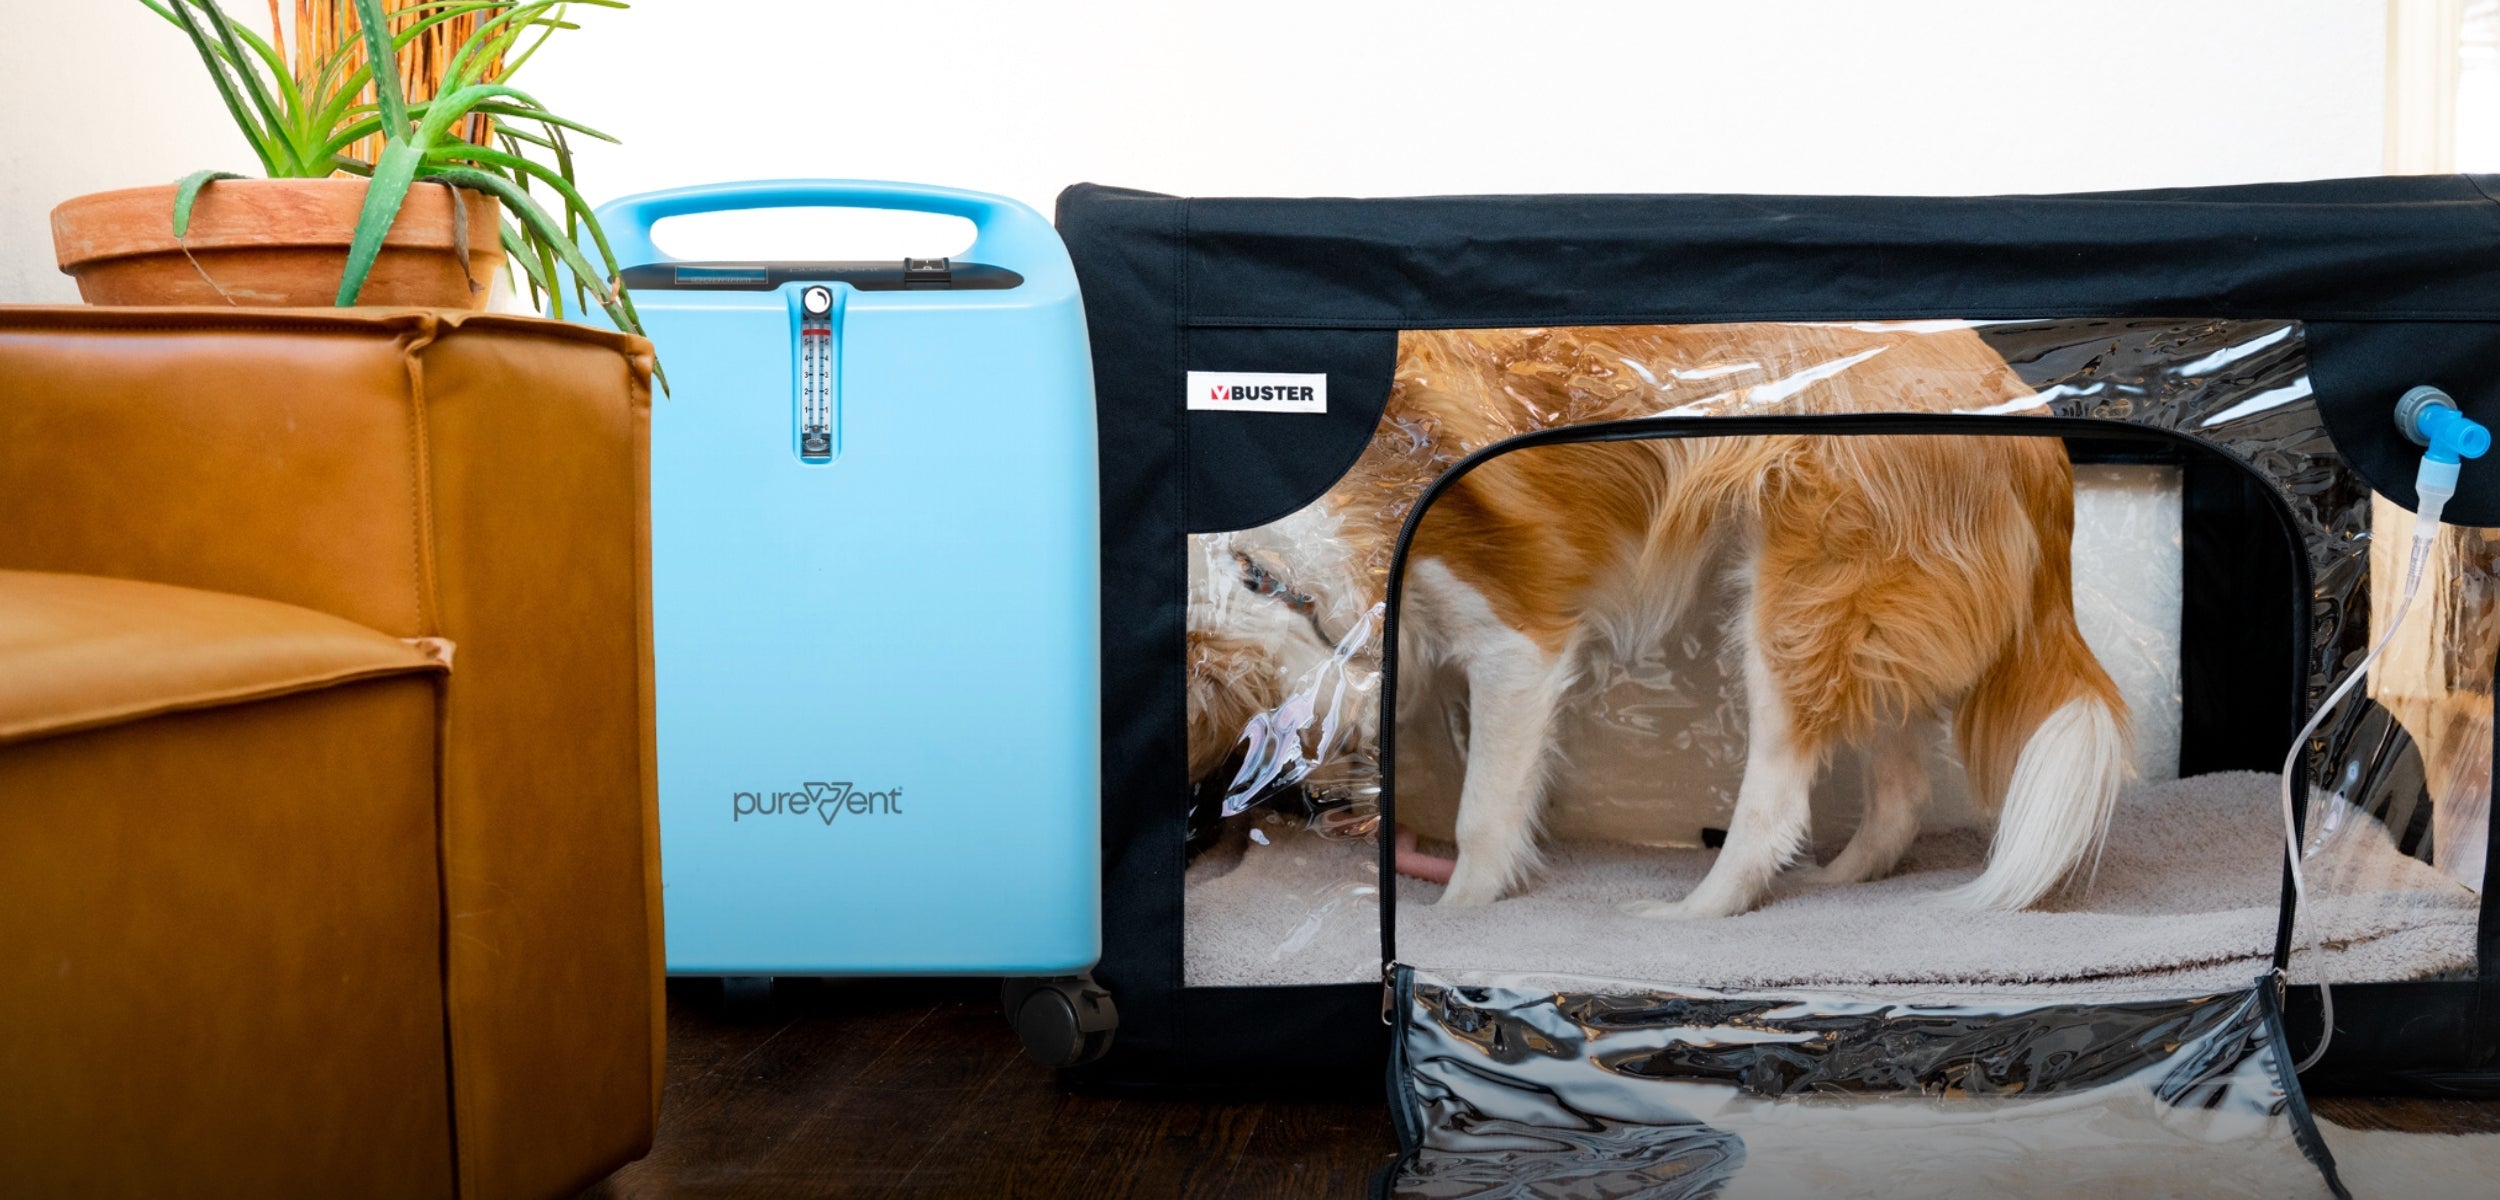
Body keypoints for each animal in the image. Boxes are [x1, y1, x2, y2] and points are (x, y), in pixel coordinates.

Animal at [1190, 322, 2130, 915]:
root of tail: (2026, 416)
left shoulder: (1517, 638)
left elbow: (1485, 813)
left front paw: (1459, 917)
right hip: (1862, 625)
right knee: (1899, 797)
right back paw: (1836, 883)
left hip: (1794, 608)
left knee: (1773, 808)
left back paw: (1700, 912)